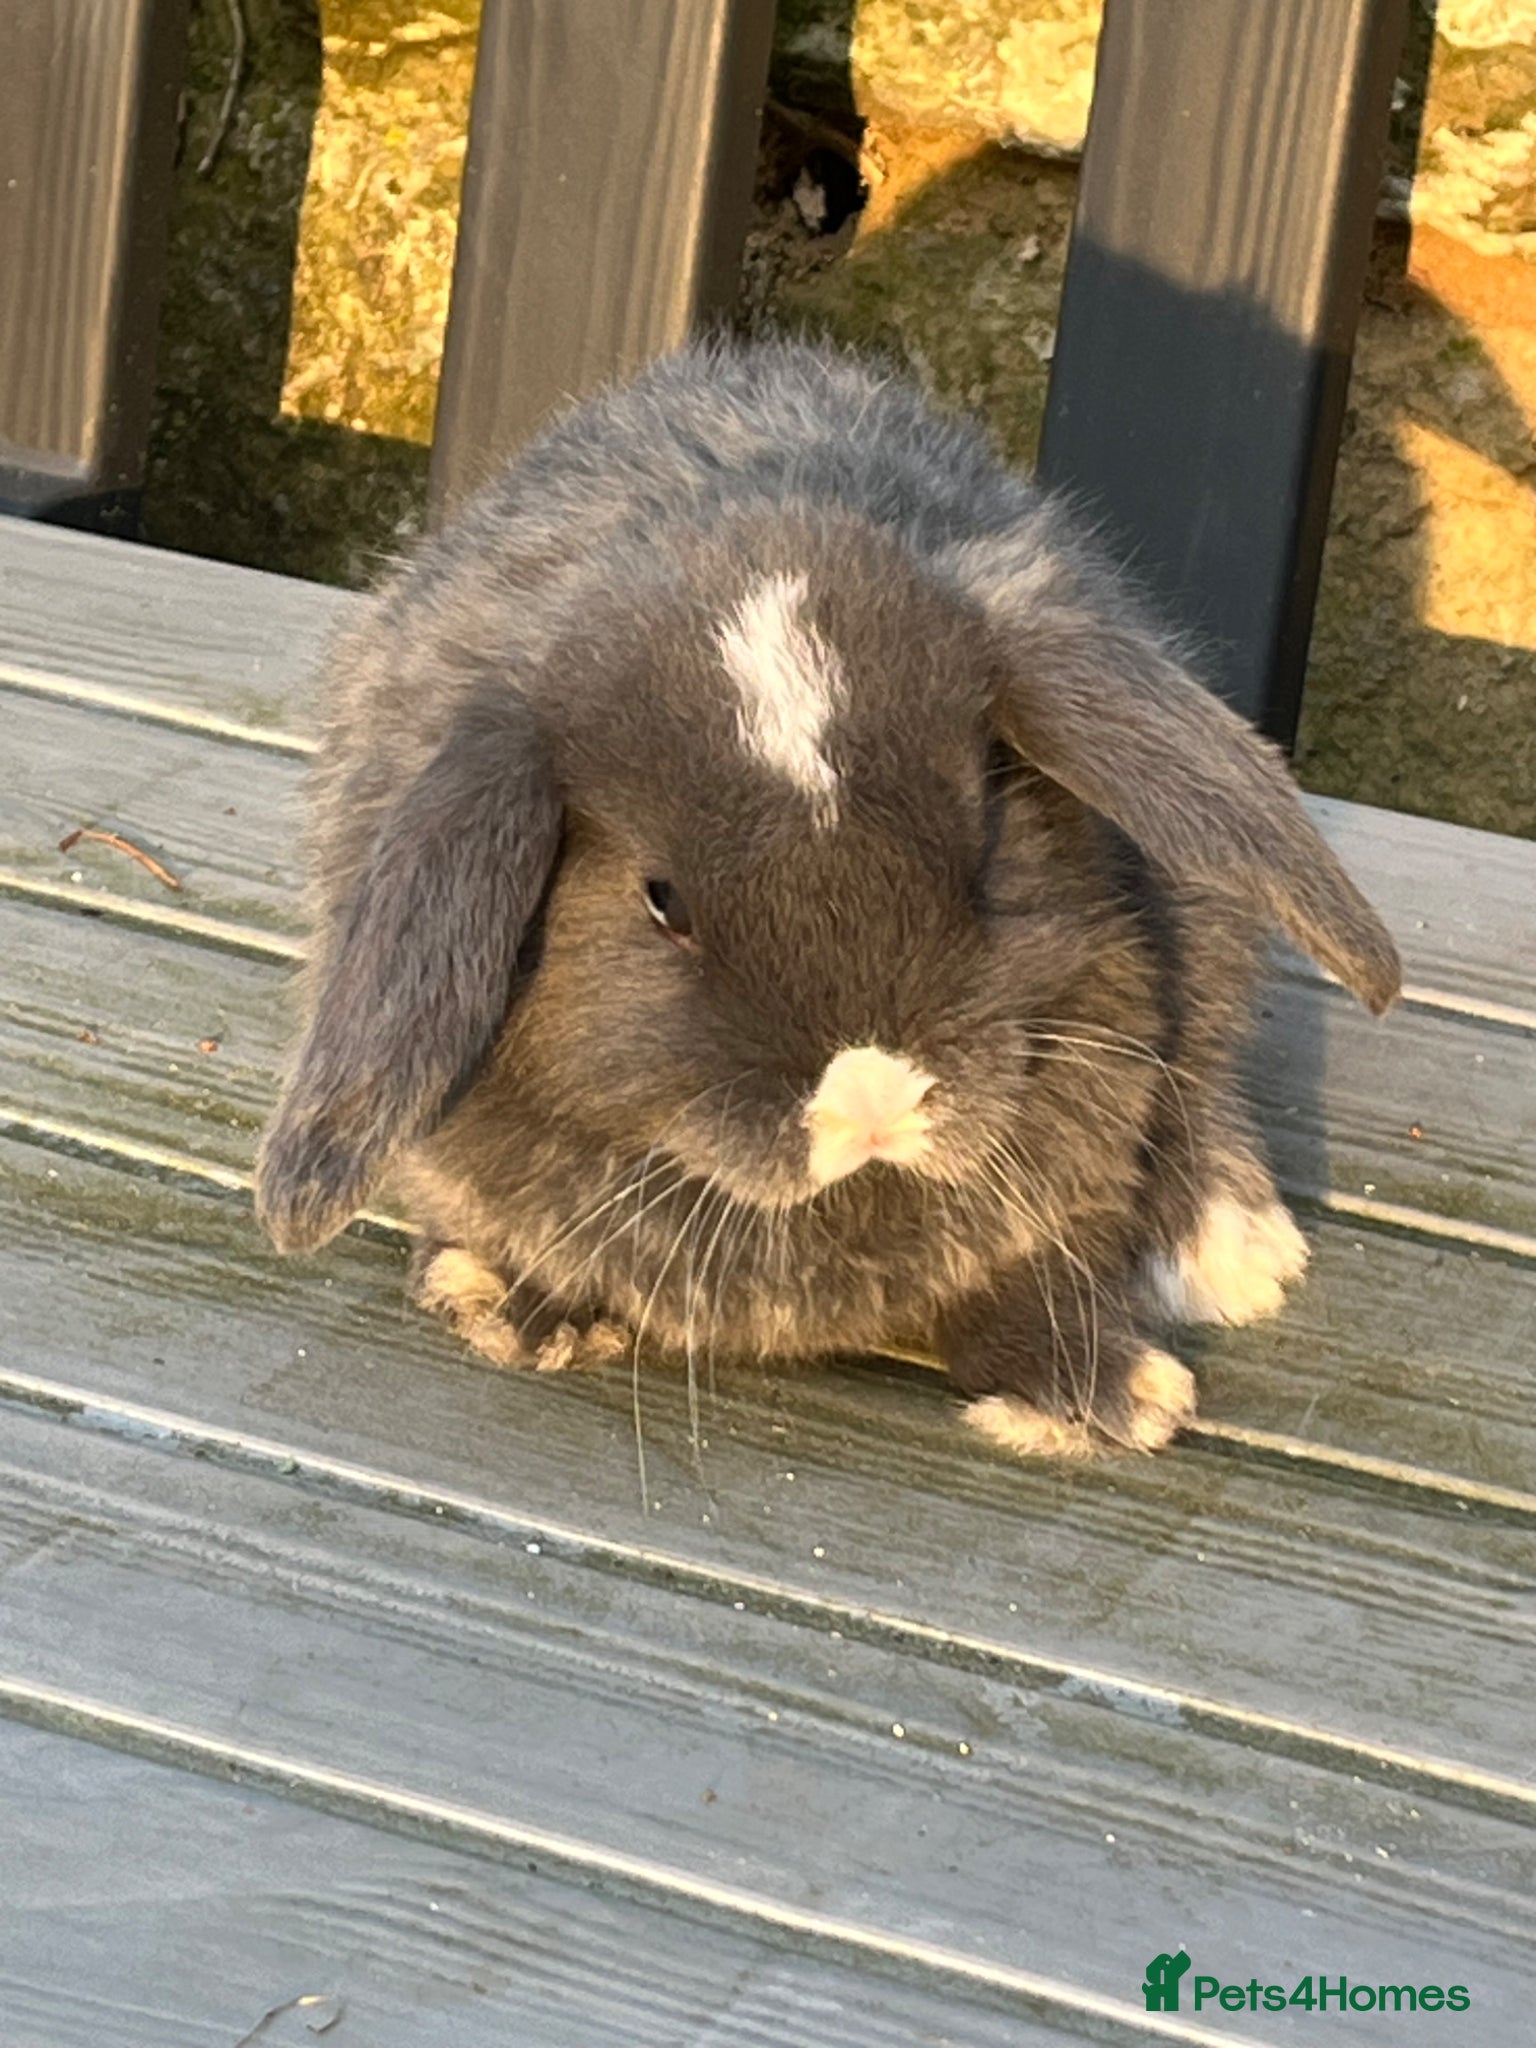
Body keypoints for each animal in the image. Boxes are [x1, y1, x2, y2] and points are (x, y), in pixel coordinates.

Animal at [255, 336, 1400, 1459]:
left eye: (986, 836)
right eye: (661, 900)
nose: (873, 1094)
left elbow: (1026, 1280)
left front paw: (1098, 1393)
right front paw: (508, 1302)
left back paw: (1229, 1244)